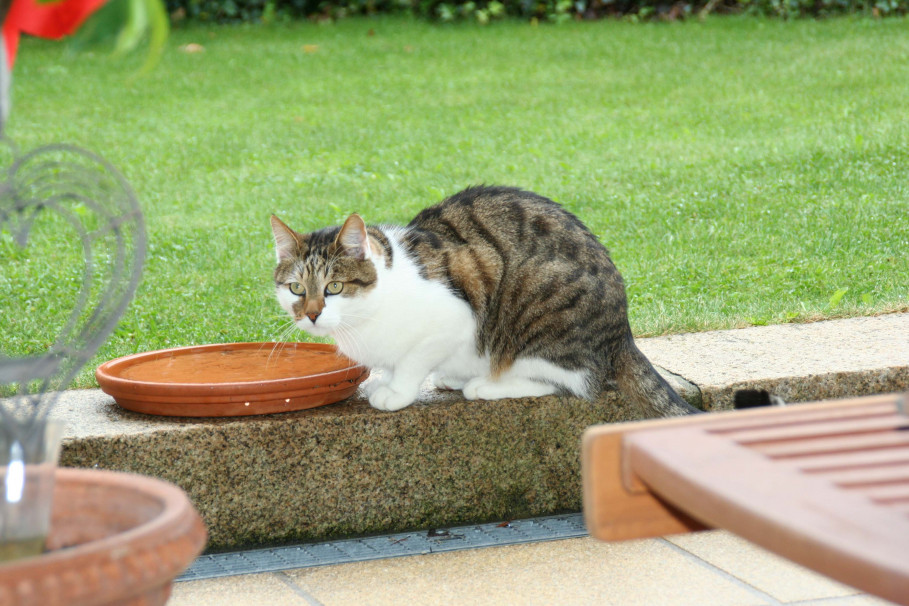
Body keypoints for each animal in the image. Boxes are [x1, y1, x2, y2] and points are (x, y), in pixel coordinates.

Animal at [266, 188, 700, 418]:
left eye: (335, 286)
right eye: (296, 289)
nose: (312, 315)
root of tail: (621, 332)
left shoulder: (454, 318)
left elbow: (412, 361)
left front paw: (396, 390)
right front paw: (386, 378)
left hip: (535, 313)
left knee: (572, 380)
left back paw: (485, 385)